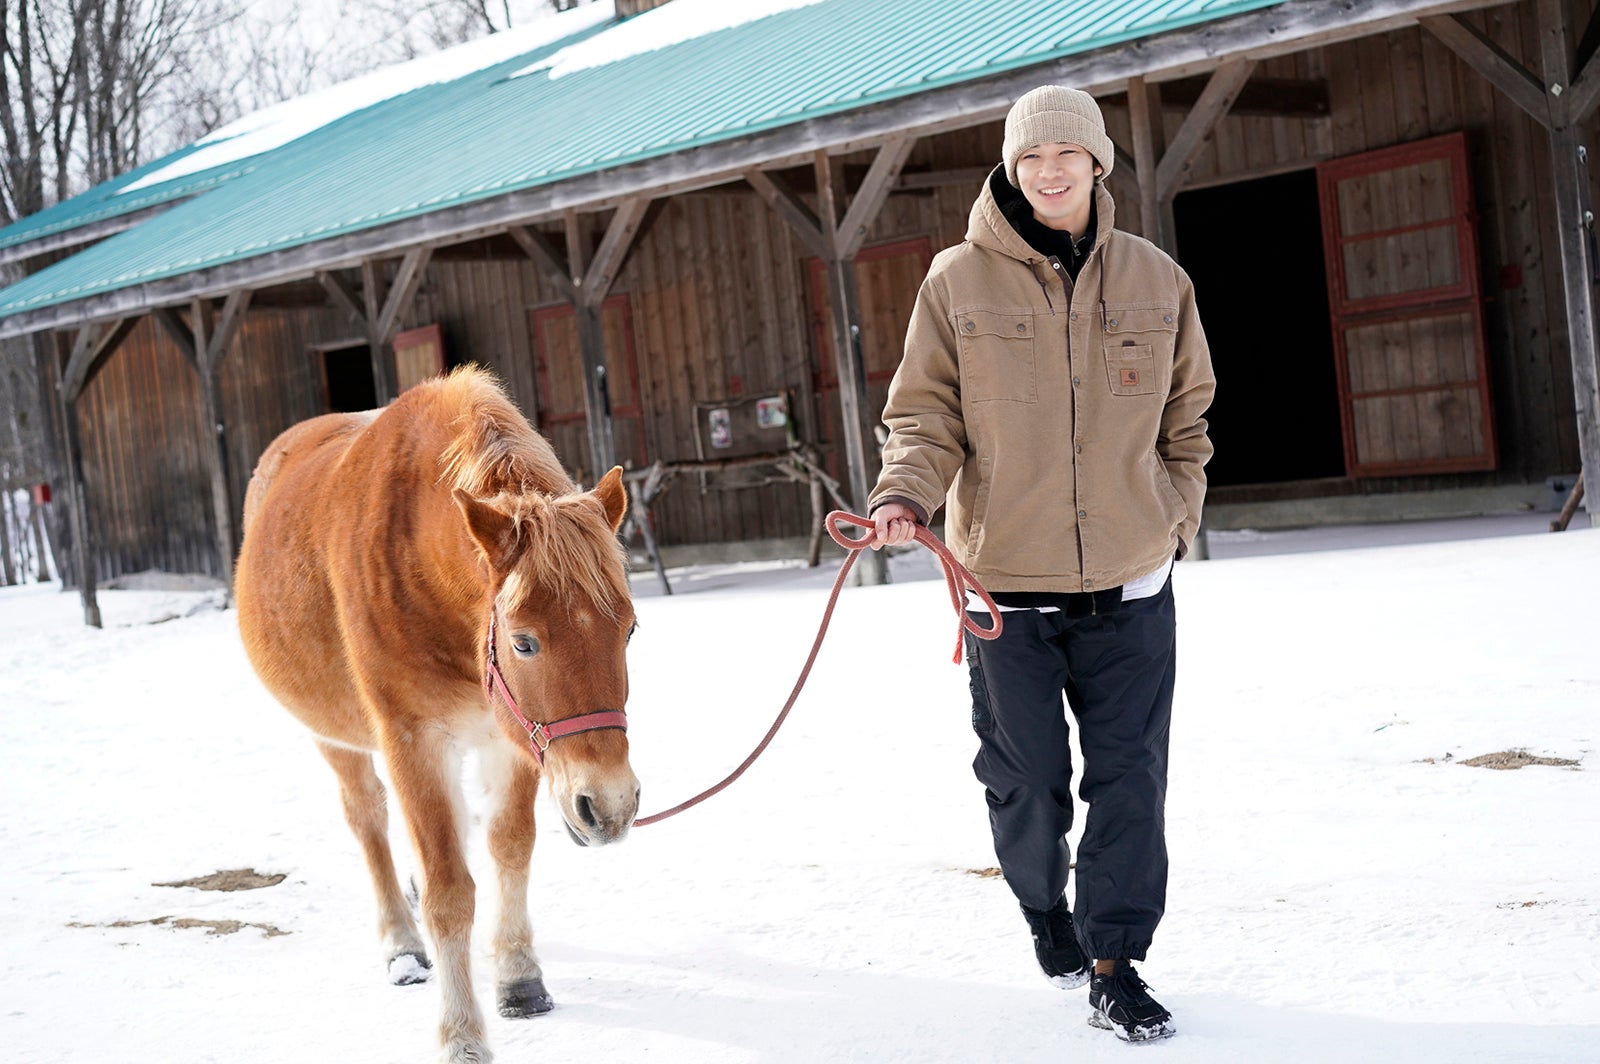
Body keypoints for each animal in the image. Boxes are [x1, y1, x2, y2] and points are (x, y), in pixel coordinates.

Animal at [233, 368, 640, 1062]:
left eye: (631, 629)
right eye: (524, 642)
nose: (609, 806)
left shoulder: (511, 739)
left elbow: (509, 848)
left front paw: (518, 976)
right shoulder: (414, 741)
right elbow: (450, 893)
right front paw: (462, 1034)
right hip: (336, 739)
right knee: (368, 819)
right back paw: (401, 944)